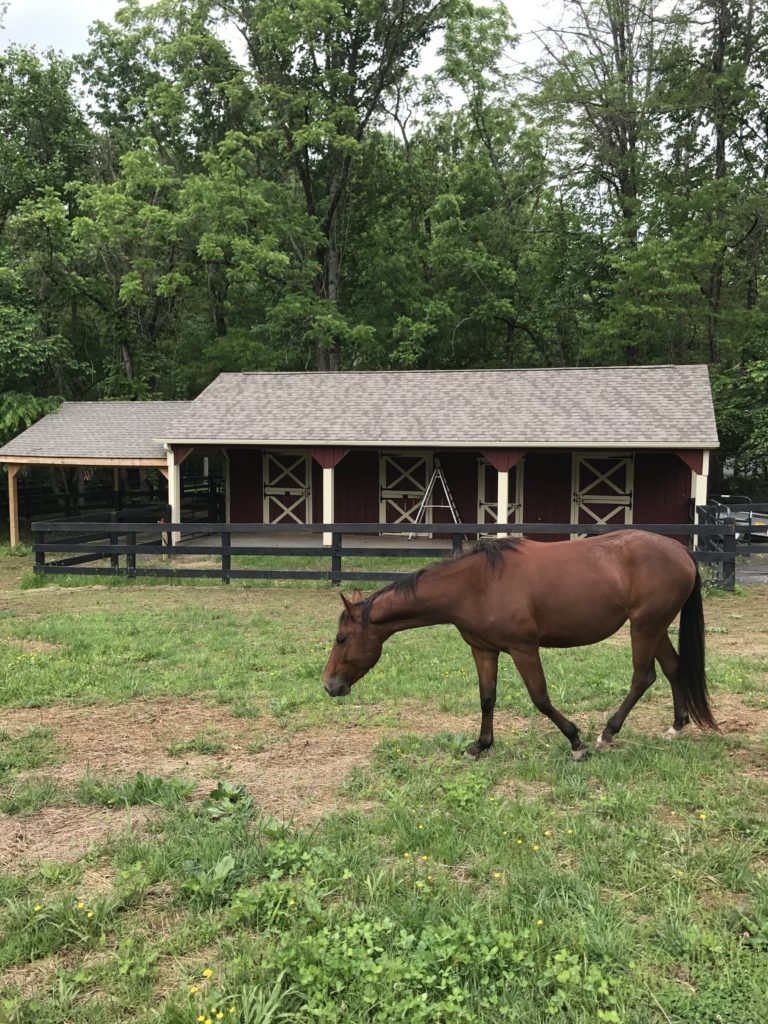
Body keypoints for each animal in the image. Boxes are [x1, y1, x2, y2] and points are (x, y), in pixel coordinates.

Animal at [321, 528, 720, 761]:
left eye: (342, 639)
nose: (329, 685)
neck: (477, 583)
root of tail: (680, 549)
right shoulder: (483, 649)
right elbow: (487, 698)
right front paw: (479, 745)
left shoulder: (524, 648)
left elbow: (540, 698)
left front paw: (576, 742)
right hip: (655, 626)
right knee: (672, 668)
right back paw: (676, 726)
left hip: (645, 627)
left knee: (642, 677)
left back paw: (607, 733)